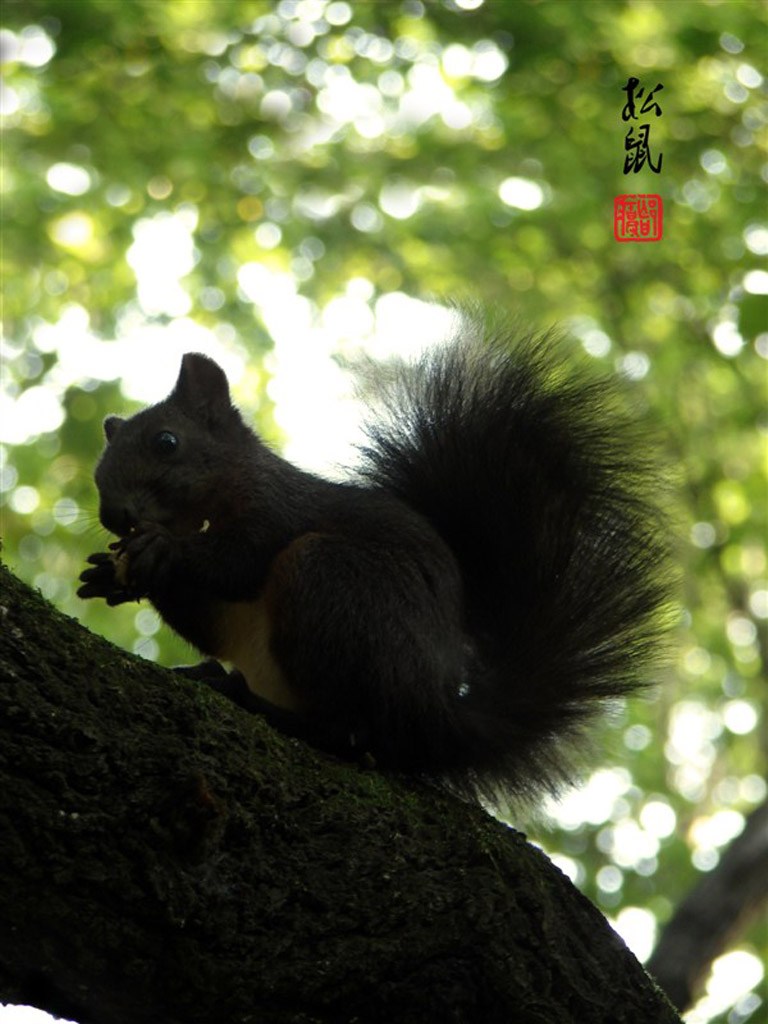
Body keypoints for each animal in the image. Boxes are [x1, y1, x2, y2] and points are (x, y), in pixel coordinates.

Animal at [78, 309, 671, 798]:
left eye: (167, 442)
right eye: (98, 470)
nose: (117, 517)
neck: (203, 509)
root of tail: (439, 718)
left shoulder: (277, 510)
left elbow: (238, 561)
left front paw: (162, 549)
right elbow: (203, 613)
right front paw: (109, 573)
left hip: (332, 587)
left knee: (350, 734)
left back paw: (249, 698)